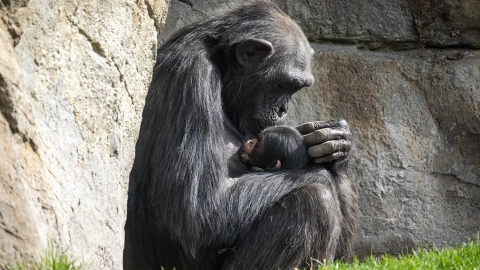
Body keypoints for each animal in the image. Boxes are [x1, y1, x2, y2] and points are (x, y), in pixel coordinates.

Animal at [124, 2, 356, 270]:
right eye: (283, 85)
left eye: (296, 88)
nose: (284, 109)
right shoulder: (191, 76)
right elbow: (197, 211)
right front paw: (321, 172)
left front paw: (336, 144)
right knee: (315, 200)